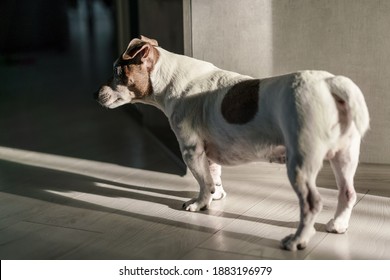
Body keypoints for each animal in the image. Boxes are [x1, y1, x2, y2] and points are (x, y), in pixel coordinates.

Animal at [96, 35, 370, 252]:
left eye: (117, 72)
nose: (94, 94)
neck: (170, 79)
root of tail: (329, 83)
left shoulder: (191, 151)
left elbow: (203, 182)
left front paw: (200, 203)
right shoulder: (207, 152)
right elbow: (213, 175)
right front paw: (217, 195)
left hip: (300, 163)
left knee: (312, 203)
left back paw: (297, 240)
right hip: (344, 157)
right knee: (348, 193)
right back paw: (338, 225)